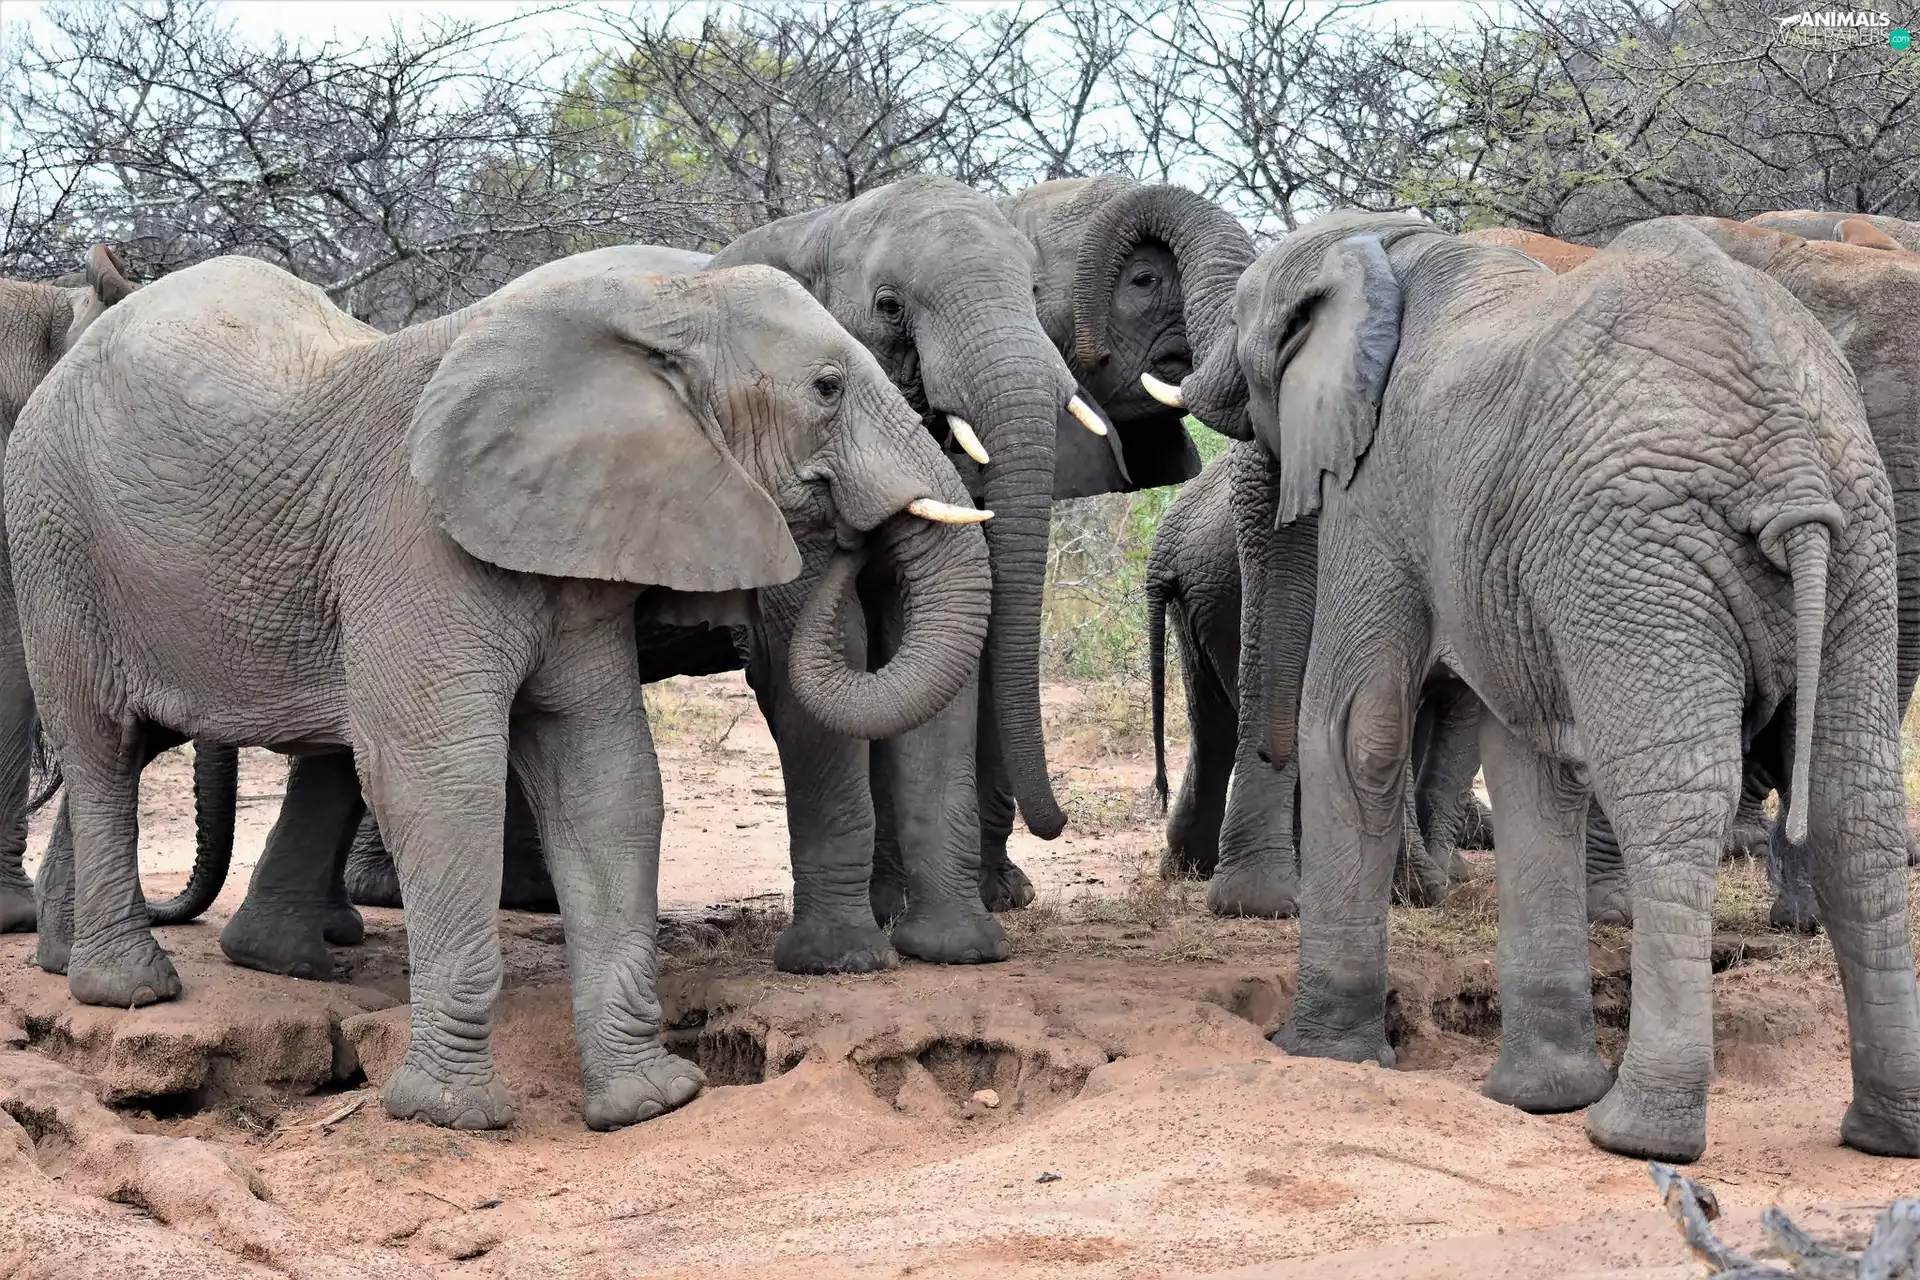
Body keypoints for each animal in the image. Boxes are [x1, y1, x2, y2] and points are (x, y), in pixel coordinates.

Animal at [8, 250, 993, 1131]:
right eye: (827, 388)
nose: (854, 538)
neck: (654, 305)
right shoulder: (413, 542)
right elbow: (443, 783)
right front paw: (450, 1117)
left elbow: (607, 779)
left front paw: (648, 1104)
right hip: (52, 544)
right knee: (102, 748)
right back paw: (128, 991)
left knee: (125, 749)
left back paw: (72, 964)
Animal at [1203, 209, 1920, 1163]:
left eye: (1243, 320)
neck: (1392, 247)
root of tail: (1787, 449)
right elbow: (1532, 759)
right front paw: (1538, 1097)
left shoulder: (1379, 484)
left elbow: (1359, 728)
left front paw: (1321, 1055)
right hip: (1859, 539)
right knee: (1855, 804)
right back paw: (1887, 1133)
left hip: (1640, 548)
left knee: (1673, 802)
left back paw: (1641, 1135)